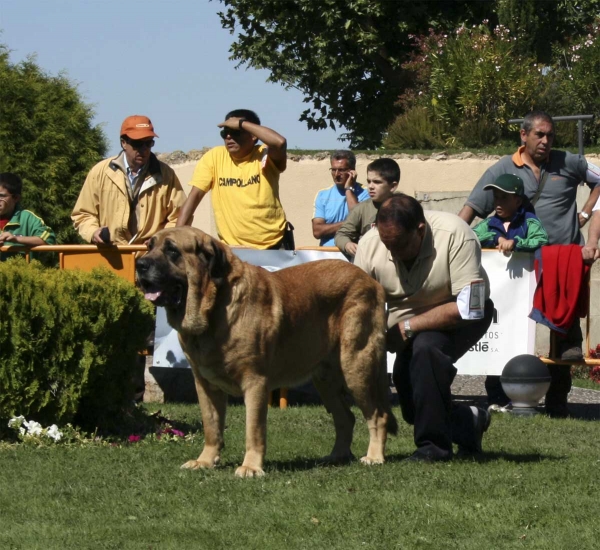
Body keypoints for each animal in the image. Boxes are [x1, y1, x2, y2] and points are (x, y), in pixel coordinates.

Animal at [138, 229, 396, 478]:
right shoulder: (205, 384)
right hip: (326, 380)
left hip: (356, 367)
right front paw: (205, 461)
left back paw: (374, 457)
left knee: (377, 415)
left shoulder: (255, 382)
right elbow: (211, 426)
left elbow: (253, 429)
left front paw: (251, 467)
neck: (215, 309)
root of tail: (371, 281)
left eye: (172, 250)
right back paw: (336, 456)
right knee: (345, 418)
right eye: (149, 246)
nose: (140, 264)